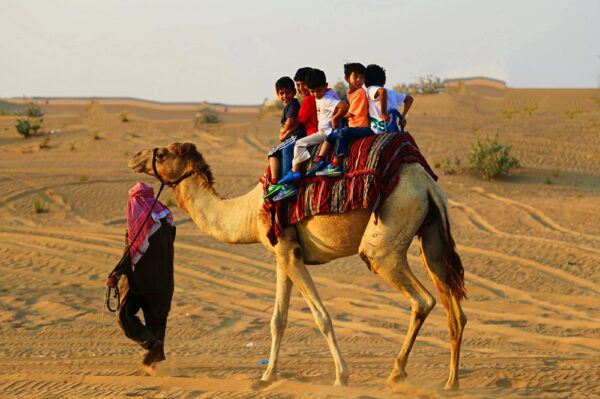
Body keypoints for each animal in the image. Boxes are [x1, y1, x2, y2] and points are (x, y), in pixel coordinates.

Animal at [129, 143, 466, 390]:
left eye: (162, 153)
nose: (134, 157)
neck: (249, 212)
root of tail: (425, 183)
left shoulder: (289, 253)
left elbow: (321, 316)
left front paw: (341, 376)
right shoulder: (284, 253)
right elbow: (278, 319)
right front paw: (267, 376)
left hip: (385, 239)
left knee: (421, 299)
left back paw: (396, 374)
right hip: (431, 235)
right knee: (455, 308)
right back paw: (450, 383)